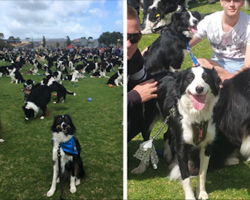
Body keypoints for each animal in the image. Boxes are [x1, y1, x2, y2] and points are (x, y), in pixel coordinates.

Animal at [132, 67, 220, 198]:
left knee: (166, 134)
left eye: (206, 78)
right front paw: (190, 197)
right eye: (189, 78)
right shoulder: (181, 147)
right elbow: (186, 176)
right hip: (148, 121)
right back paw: (141, 167)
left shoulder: (207, 145)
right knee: (146, 142)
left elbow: (202, 173)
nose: (199, 89)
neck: (197, 115)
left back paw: (168, 154)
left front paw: (201, 192)